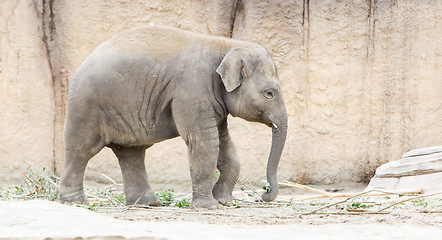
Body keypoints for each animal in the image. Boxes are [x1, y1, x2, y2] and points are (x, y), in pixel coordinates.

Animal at [60, 26, 288, 209]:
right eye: (269, 93)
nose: (262, 194)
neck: (227, 45)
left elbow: (224, 143)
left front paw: (223, 202)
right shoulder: (192, 91)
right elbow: (205, 142)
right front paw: (208, 207)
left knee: (132, 153)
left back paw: (147, 204)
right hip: (87, 106)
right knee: (82, 150)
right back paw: (76, 203)